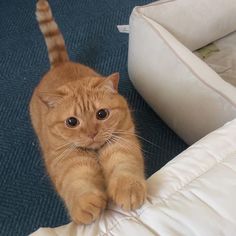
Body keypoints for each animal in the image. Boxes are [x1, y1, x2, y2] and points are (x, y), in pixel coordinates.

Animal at [30, 0, 146, 225]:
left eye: (102, 114)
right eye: (71, 122)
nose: (92, 133)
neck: (95, 151)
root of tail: (61, 64)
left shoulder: (121, 141)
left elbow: (124, 165)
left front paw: (129, 189)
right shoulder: (66, 158)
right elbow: (77, 179)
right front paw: (85, 204)